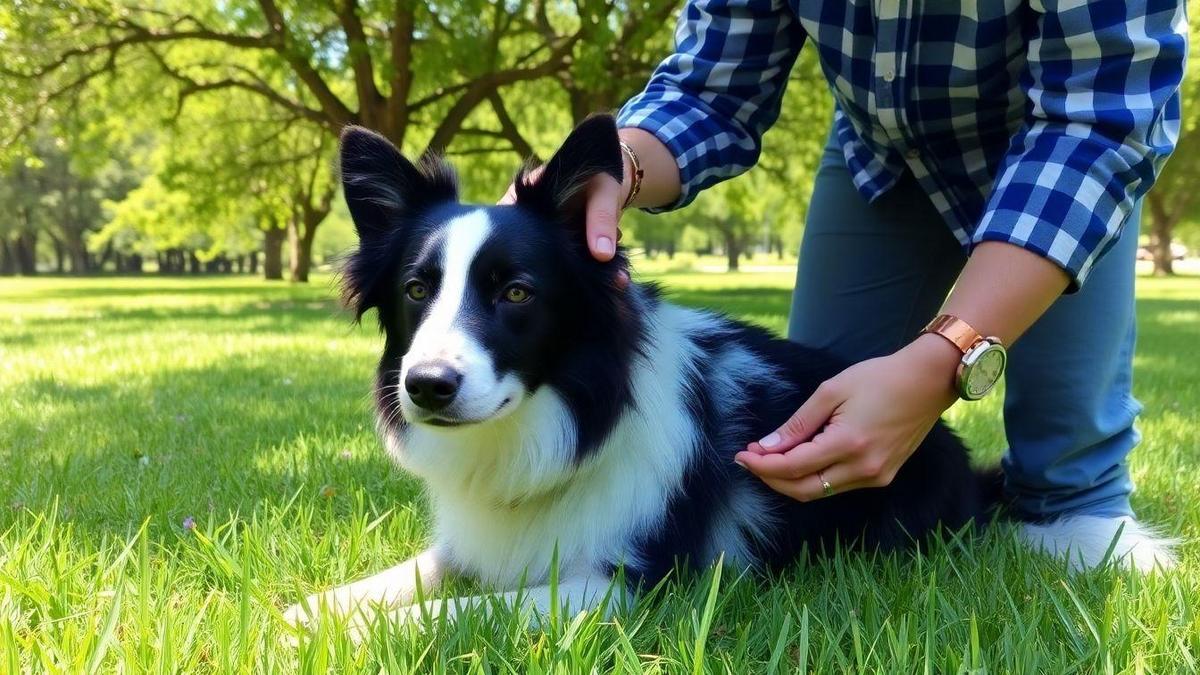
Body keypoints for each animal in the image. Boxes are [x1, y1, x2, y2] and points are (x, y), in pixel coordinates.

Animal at [285, 114, 998, 624]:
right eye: (415, 290)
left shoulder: (625, 584)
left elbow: (454, 610)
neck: (566, 419)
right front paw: (305, 615)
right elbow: (402, 578)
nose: (427, 387)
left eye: (516, 292)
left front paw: (337, 635)